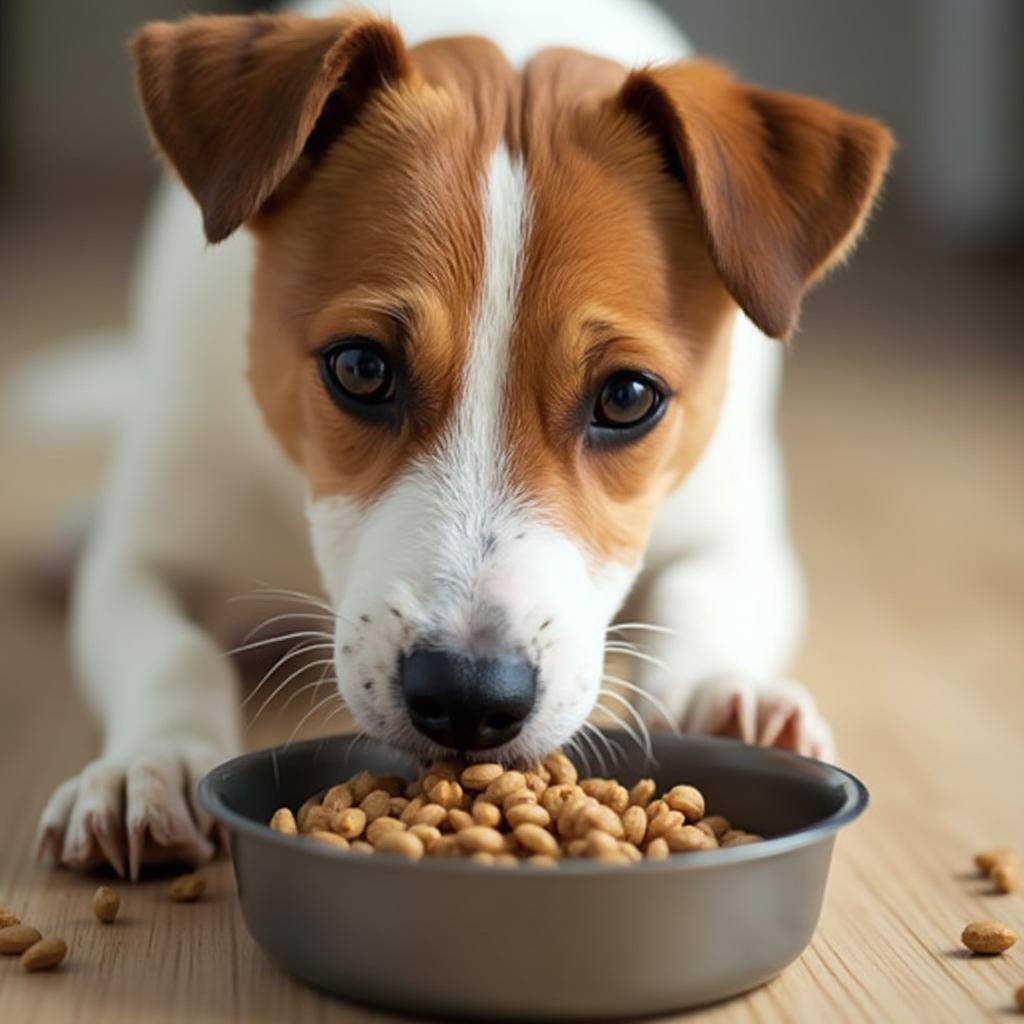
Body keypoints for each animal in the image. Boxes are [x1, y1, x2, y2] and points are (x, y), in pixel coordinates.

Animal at [36, 2, 892, 880]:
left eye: (627, 398)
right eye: (359, 368)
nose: (470, 697)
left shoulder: (737, 533)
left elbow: (705, 593)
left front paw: (725, 699)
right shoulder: (151, 552)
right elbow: (171, 652)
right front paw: (150, 763)